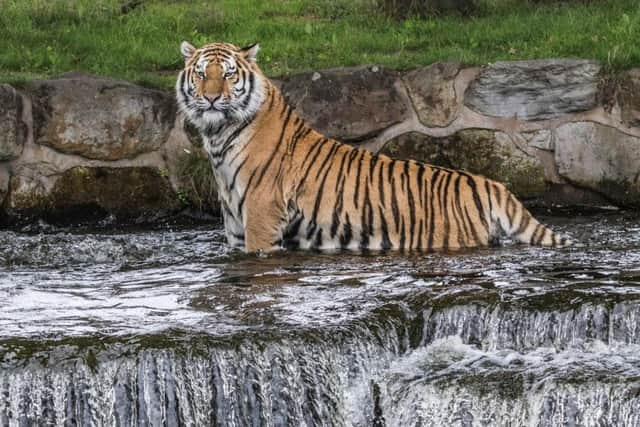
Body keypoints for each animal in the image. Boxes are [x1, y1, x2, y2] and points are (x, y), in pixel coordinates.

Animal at [175, 41, 568, 252]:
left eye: (228, 74)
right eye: (201, 73)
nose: (211, 98)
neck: (218, 137)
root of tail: (488, 182)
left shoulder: (262, 219)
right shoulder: (237, 228)